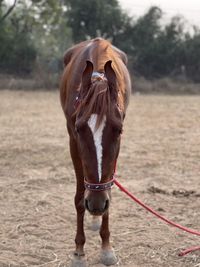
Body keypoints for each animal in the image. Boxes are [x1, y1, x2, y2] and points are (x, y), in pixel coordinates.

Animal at [59, 38, 131, 267]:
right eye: (79, 129)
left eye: (119, 130)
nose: (97, 204)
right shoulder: (73, 142)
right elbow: (79, 198)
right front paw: (79, 251)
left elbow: (109, 189)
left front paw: (106, 248)